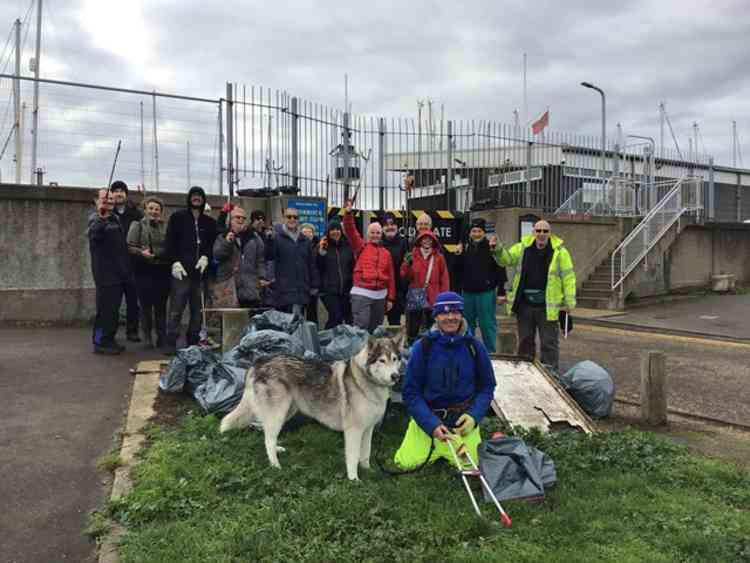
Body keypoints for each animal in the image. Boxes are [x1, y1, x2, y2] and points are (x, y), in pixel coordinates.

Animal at [219, 334, 406, 480]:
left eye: (395, 359)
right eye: (382, 360)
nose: (396, 376)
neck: (365, 381)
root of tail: (259, 362)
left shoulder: (368, 430)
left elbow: (365, 454)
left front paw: (369, 471)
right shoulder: (353, 431)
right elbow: (353, 458)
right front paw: (354, 480)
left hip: (285, 412)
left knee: (268, 435)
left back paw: (277, 451)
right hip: (277, 413)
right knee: (268, 439)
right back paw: (275, 466)